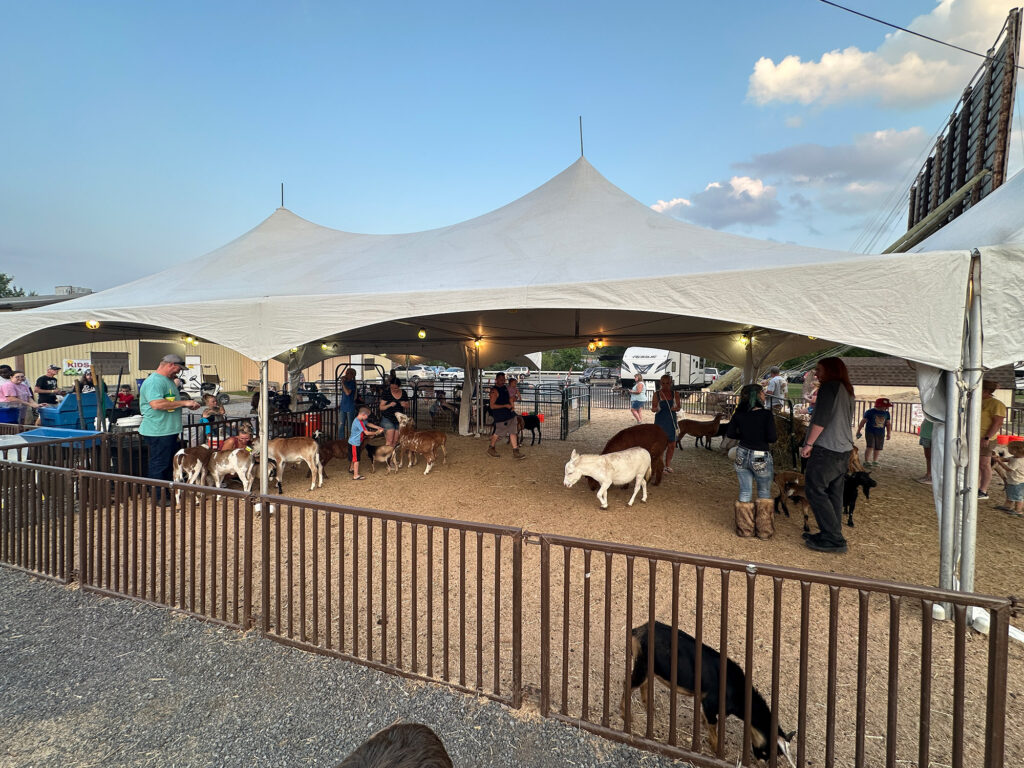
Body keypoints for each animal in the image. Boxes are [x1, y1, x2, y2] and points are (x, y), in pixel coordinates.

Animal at [618, 622, 794, 765]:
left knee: (643, 684)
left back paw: (650, 708)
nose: (761, 763)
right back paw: (626, 715)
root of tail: (637, 631)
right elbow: (713, 723)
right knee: (629, 683)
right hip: (643, 663)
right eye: (768, 749)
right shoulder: (710, 702)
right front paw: (717, 750)